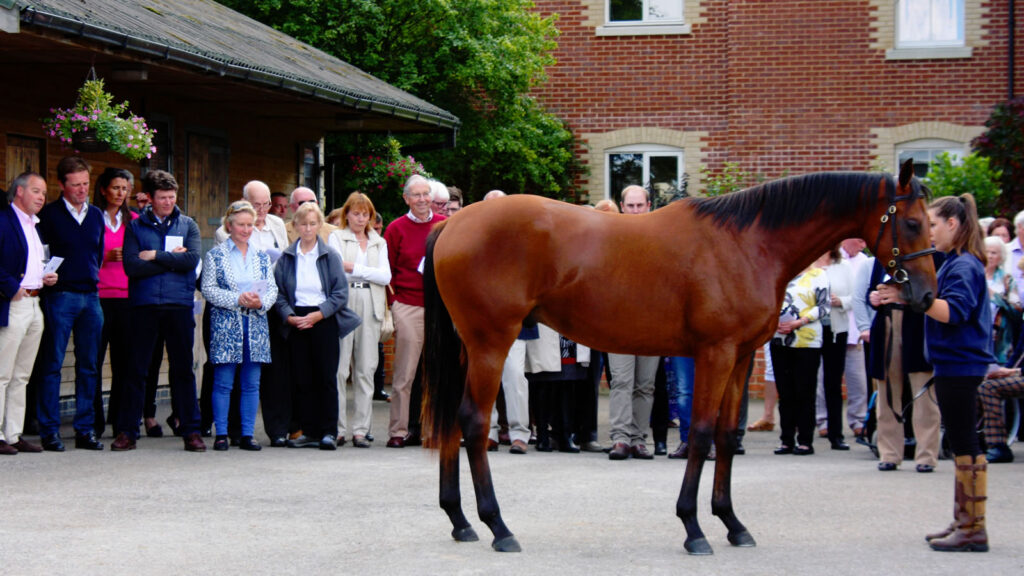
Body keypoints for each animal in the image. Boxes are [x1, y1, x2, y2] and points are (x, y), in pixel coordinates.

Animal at [419, 158, 933, 553]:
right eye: (911, 222)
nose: (926, 296)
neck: (748, 243)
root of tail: (452, 223)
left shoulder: (740, 357)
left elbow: (725, 435)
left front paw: (733, 524)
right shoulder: (715, 354)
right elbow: (701, 434)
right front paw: (693, 527)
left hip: (468, 348)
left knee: (452, 422)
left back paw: (460, 521)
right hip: (491, 344)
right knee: (474, 423)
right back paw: (498, 527)